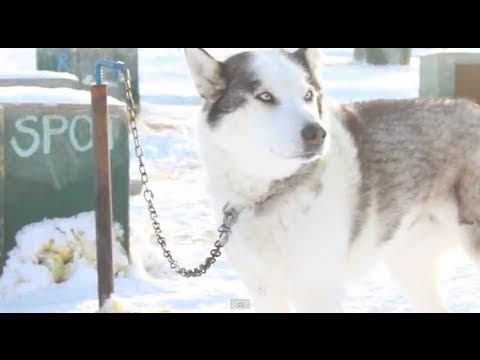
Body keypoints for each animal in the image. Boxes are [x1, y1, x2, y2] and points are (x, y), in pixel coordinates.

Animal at [183, 47, 480, 312]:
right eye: (265, 96)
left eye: (307, 95)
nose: (316, 133)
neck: (269, 192)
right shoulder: (266, 290)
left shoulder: (317, 290)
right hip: (409, 266)